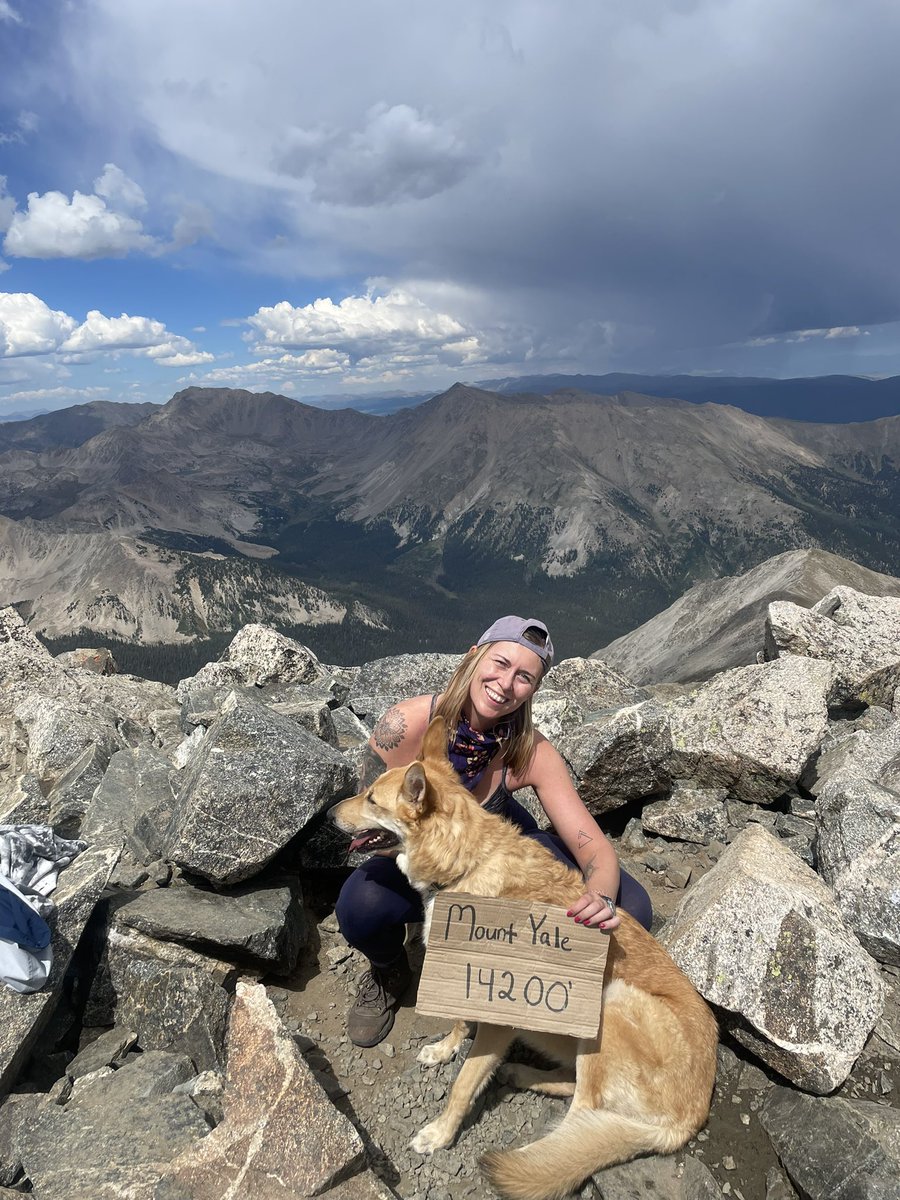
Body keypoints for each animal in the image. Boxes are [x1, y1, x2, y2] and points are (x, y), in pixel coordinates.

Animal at [331, 720, 720, 1200]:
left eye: (371, 799)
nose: (329, 815)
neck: (467, 863)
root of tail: (690, 1116)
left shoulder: (500, 1013)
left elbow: (464, 1083)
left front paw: (440, 1133)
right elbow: (459, 1024)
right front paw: (444, 1049)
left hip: (611, 1001)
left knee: (581, 1119)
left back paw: (535, 1156)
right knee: (574, 1090)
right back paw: (521, 1075)